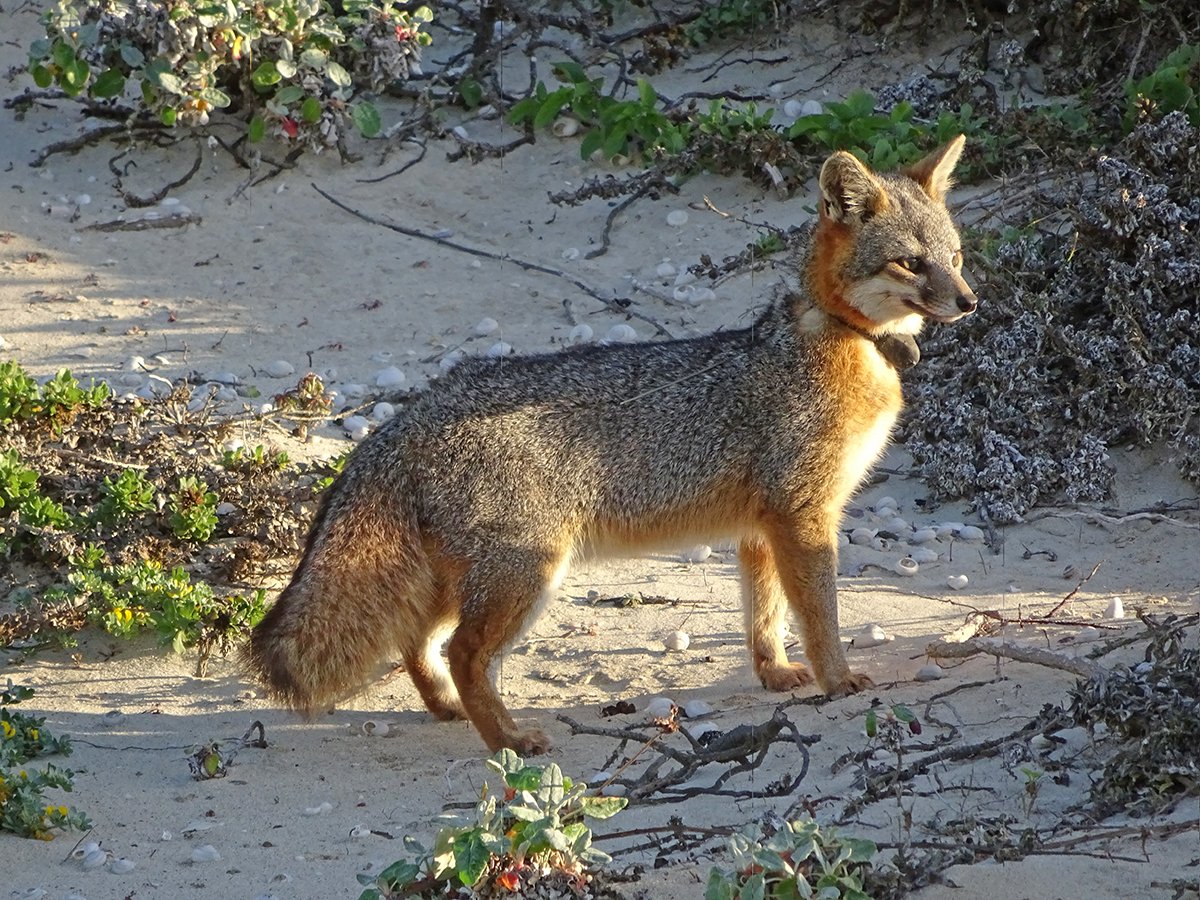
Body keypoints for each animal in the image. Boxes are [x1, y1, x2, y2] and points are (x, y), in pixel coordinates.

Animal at [246, 135, 977, 755]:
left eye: (956, 258)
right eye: (910, 263)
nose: (970, 302)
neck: (842, 342)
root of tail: (417, 407)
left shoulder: (760, 529)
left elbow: (763, 617)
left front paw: (774, 673)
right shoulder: (803, 515)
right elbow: (819, 615)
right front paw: (838, 678)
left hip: (463, 577)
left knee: (415, 643)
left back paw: (451, 709)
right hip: (527, 573)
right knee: (461, 652)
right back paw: (510, 740)